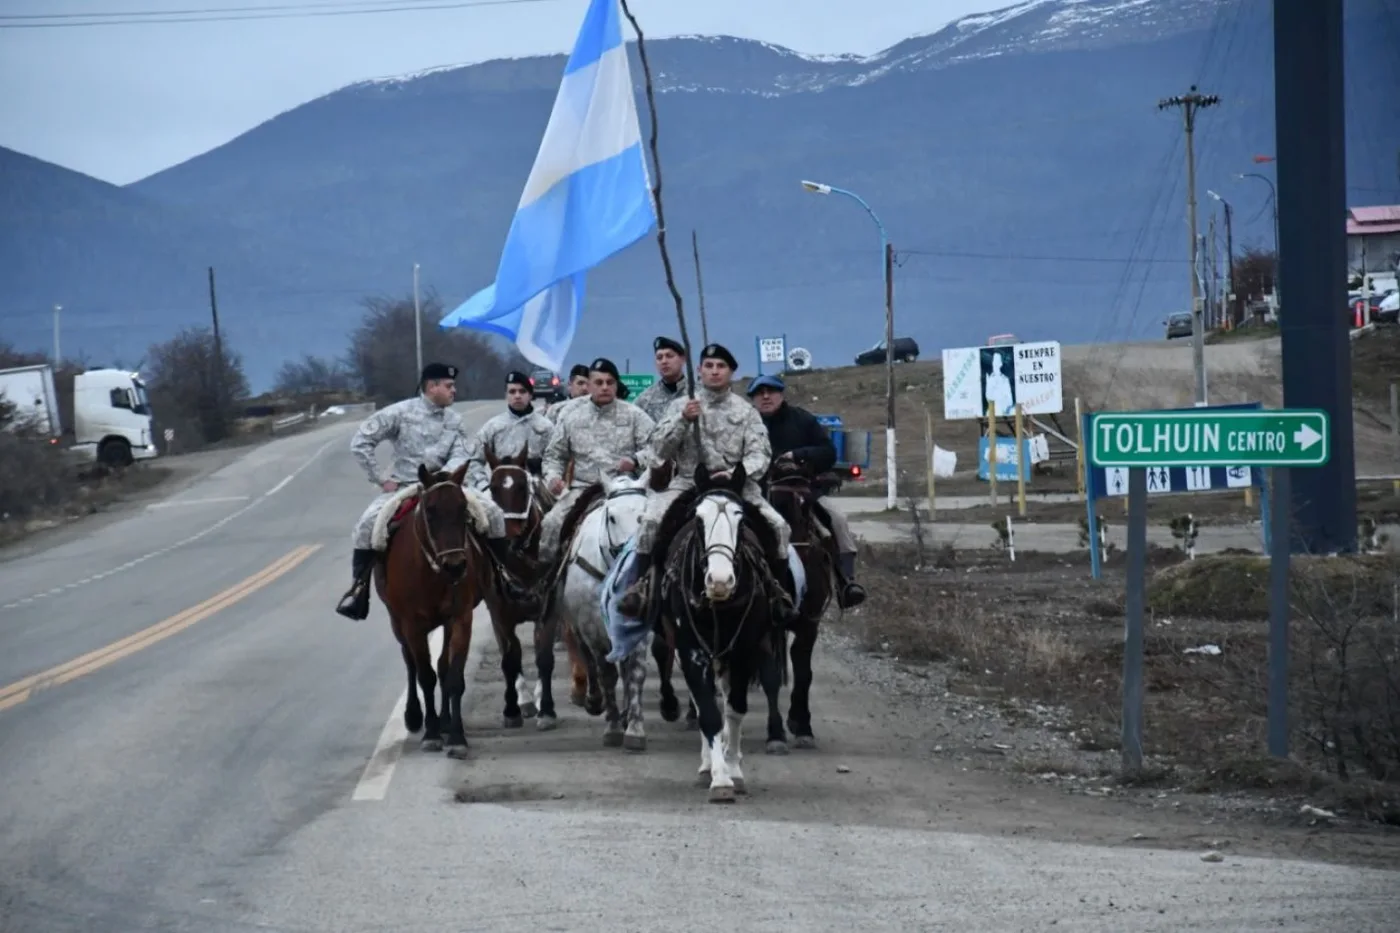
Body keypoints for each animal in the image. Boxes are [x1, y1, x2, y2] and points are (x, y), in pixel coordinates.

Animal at [372, 456, 492, 756]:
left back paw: (445, 720)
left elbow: (452, 675)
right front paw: (432, 732)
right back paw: (416, 716)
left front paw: (456, 735)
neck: (431, 571)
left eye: (463, 509)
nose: (456, 566)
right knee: (410, 662)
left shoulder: (460, 618)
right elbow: (425, 675)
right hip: (396, 621)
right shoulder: (411, 624)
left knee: (441, 666)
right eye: (431, 510)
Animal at [484, 439, 588, 722]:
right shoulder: (499, 613)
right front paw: (518, 705)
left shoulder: (549, 607)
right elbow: (510, 658)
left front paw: (547, 707)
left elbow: (544, 656)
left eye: (522, 486)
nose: (509, 536)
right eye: (493, 488)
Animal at [551, 473, 655, 750]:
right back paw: (594, 700)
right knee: (588, 660)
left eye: (644, 516)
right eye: (612, 517)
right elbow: (606, 673)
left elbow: (635, 673)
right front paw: (613, 727)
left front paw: (635, 728)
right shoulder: (592, 630)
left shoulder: (640, 630)